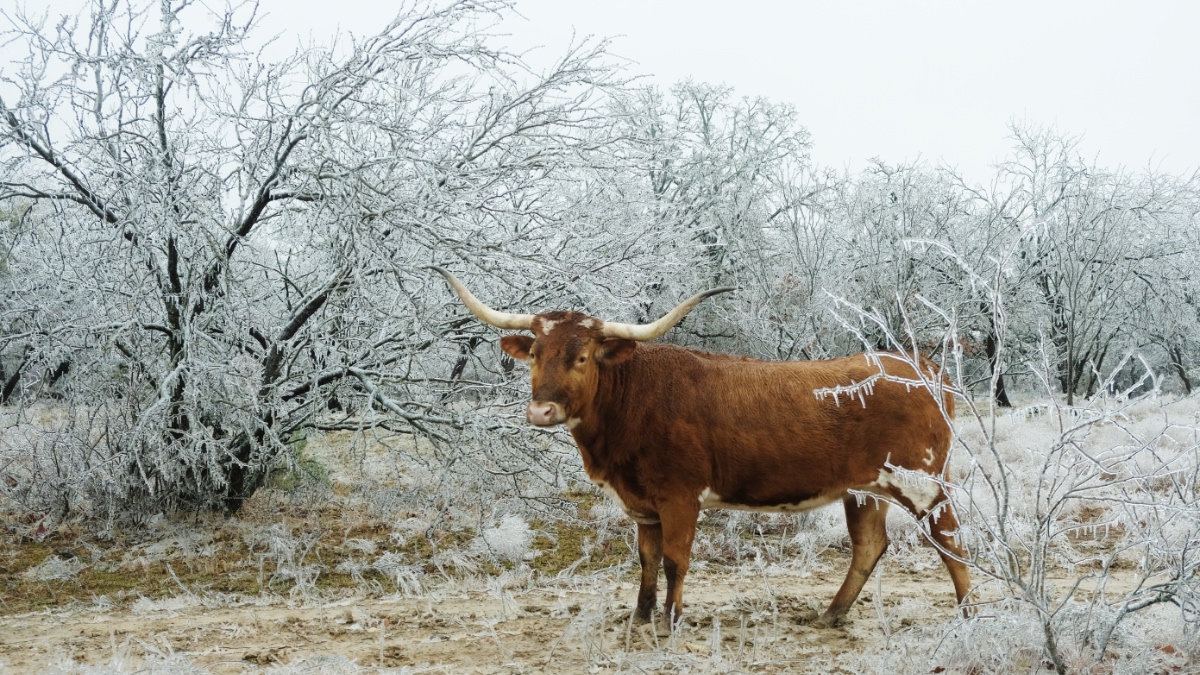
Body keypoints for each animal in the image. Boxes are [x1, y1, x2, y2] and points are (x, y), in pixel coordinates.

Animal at [436, 265, 969, 624]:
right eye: (535, 356)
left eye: (582, 356)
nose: (540, 412)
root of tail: (922, 366)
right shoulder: (643, 504)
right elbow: (647, 560)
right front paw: (641, 617)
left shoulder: (680, 496)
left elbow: (676, 559)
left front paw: (671, 621)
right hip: (864, 490)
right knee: (869, 545)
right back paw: (832, 615)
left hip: (923, 482)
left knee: (949, 539)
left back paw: (966, 613)